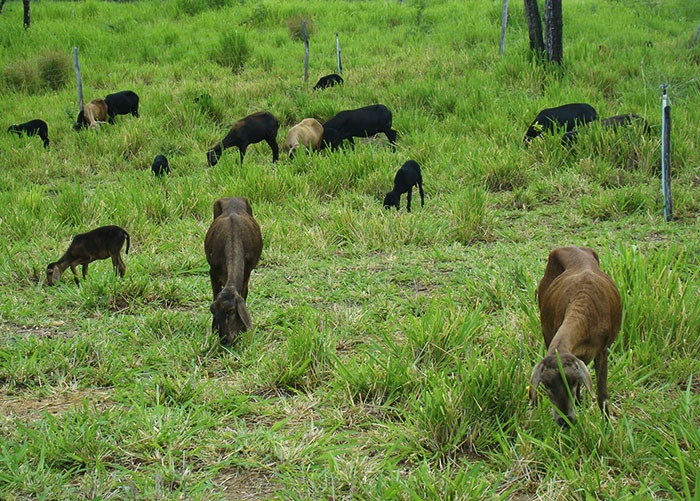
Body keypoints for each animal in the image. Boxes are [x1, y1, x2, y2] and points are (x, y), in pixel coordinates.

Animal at [208, 197, 266, 346]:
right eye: (214, 312)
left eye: (232, 311)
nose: (225, 340)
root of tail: (232, 197)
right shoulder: (213, 272)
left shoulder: (247, 272)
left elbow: (244, 294)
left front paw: (242, 330)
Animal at [528, 246, 620, 426]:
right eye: (546, 384)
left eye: (572, 380)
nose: (565, 421)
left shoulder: (602, 350)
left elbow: (602, 397)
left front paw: (608, 426)